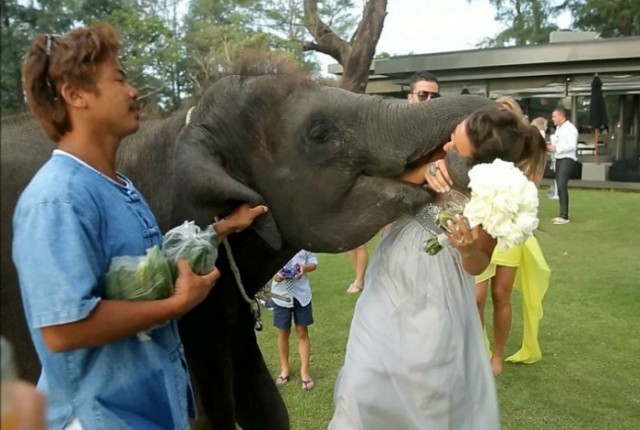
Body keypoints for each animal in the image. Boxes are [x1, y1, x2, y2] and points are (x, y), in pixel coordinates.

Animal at [1, 66, 496, 426]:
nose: (494, 114)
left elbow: (265, 406)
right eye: (319, 134)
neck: (182, 125)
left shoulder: (228, 316)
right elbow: (209, 417)